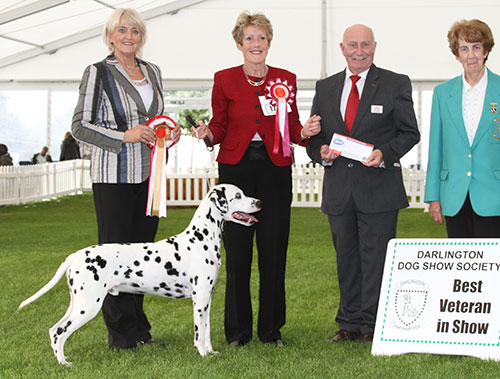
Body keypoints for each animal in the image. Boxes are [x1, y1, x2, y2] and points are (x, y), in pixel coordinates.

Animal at [19, 185, 262, 368]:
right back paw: (63, 364)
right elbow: (198, 333)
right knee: (59, 332)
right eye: (238, 196)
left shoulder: (206, 299)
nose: (259, 202)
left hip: (77, 303)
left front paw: (211, 352)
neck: (199, 238)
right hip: (87, 306)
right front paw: (202, 354)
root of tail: (74, 256)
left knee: (54, 330)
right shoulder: (200, 297)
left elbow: (206, 329)